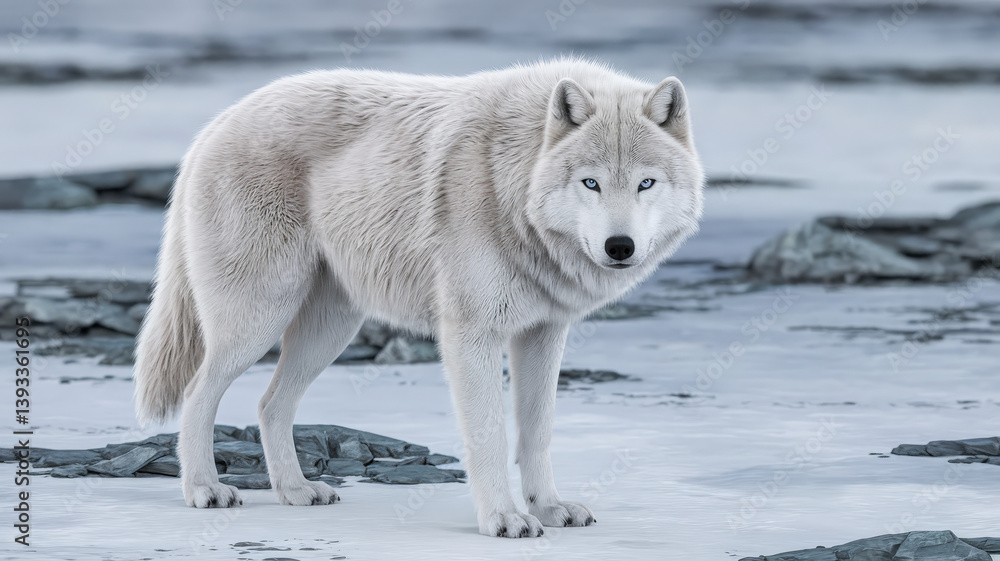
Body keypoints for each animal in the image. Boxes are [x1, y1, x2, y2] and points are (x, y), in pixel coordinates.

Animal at [133, 58, 704, 538]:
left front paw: (549, 508)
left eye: (645, 184)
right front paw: (503, 519)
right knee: (197, 394)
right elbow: (490, 437)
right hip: (257, 321)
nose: (619, 247)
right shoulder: (471, 335)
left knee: (270, 404)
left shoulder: (543, 334)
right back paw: (204, 489)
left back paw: (295, 490)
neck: (510, 180)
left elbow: (537, 432)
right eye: (591, 183)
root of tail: (217, 123)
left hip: (330, 331)